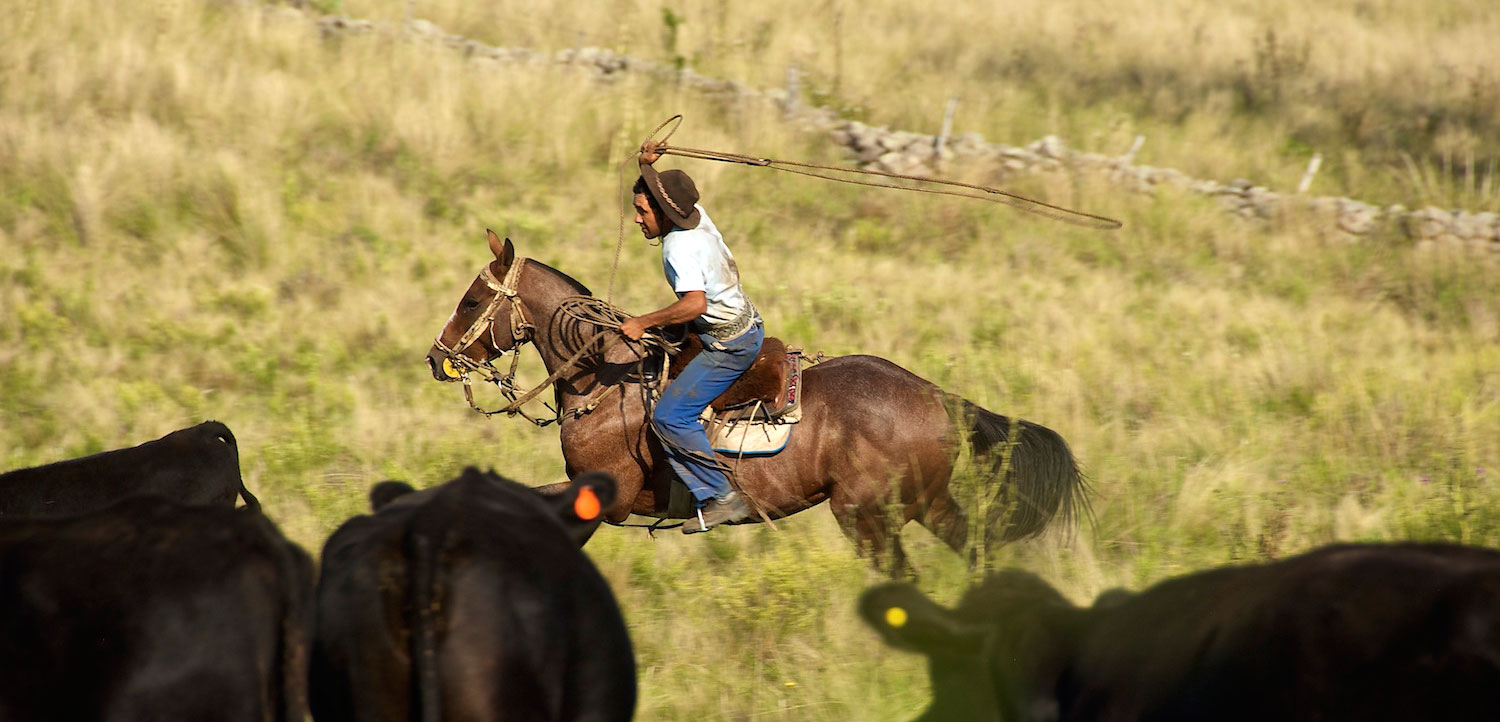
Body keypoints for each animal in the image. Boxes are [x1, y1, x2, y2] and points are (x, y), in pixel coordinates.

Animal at [423, 231, 1092, 573]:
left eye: (471, 298)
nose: (436, 357)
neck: (604, 382)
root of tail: (939, 397)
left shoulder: (603, 498)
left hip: (866, 516)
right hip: (927, 504)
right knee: (976, 553)